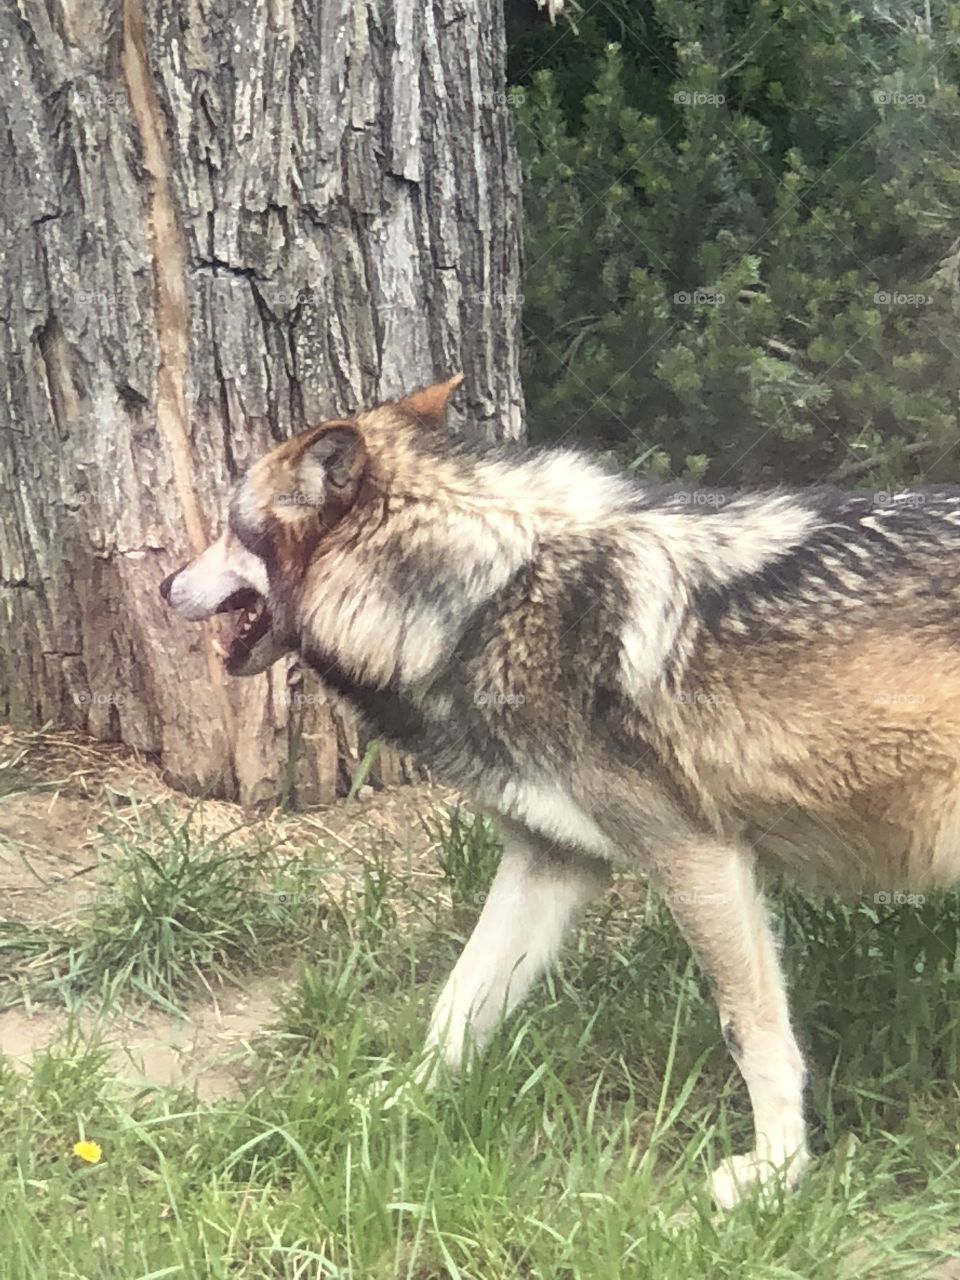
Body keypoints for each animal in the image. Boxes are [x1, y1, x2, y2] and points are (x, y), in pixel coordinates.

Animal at [160, 374, 960, 1206]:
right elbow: (457, 1006)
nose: (162, 585)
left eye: (228, 530)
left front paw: (775, 1174)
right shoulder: (551, 861)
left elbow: (754, 1032)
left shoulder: (697, 856)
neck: (489, 599)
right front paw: (392, 1110)